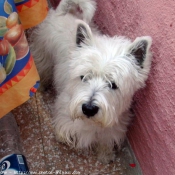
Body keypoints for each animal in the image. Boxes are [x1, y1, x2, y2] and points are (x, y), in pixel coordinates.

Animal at [30, 0, 152, 164]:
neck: (91, 123)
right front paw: (62, 138)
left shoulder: (113, 126)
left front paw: (105, 155)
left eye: (113, 84)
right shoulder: (66, 113)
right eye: (84, 77)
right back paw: (41, 86)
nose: (88, 109)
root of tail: (61, 13)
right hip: (44, 53)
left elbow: (106, 141)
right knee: (43, 69)